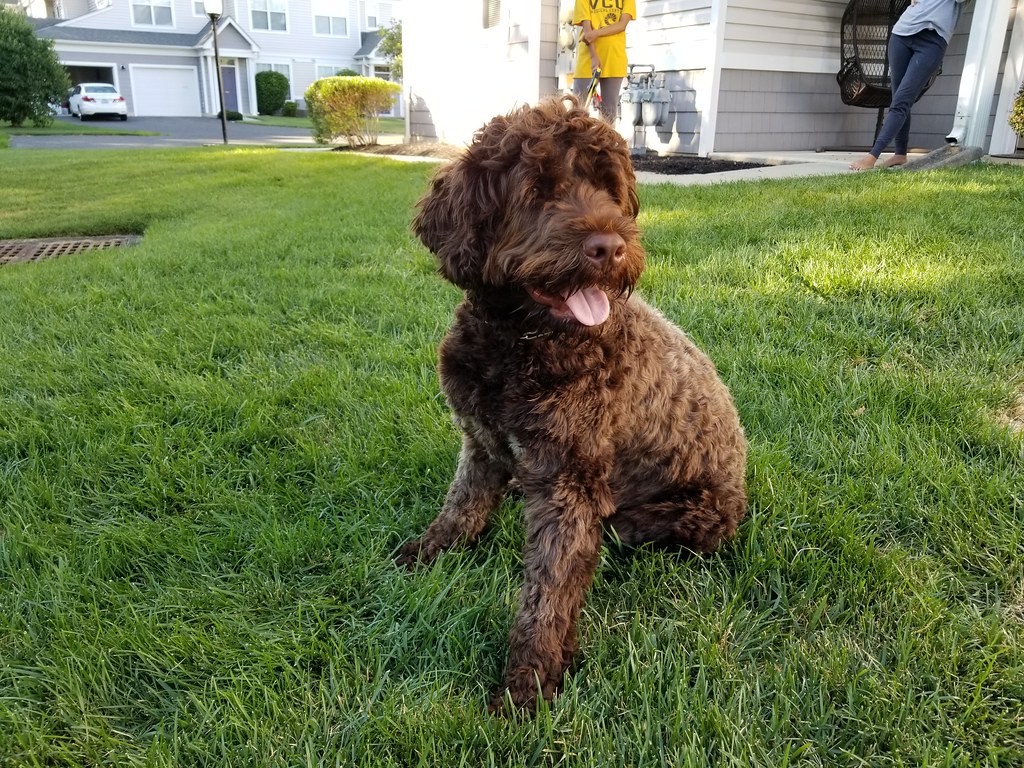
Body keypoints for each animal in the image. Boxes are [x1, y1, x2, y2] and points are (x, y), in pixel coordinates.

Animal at [397, 96, 745, 716]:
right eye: (537, 191)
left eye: (608, 188)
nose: (610, 246)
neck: (522, 342)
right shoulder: (481, 442)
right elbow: (461, 505)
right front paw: (431, 549)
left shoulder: (569, 487)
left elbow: (548, 589)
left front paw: (528, 680)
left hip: (669, 517)